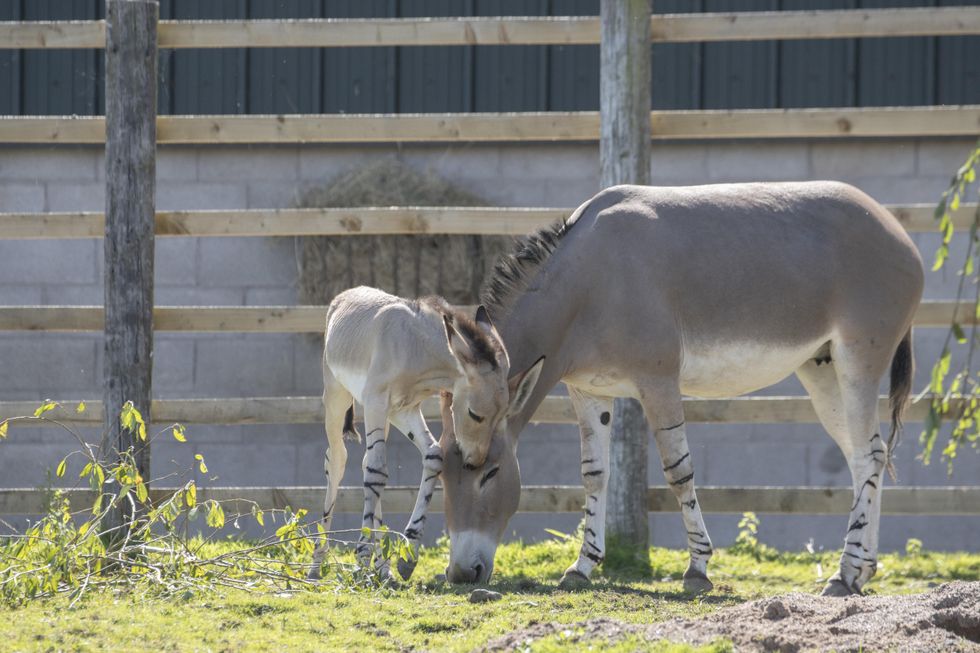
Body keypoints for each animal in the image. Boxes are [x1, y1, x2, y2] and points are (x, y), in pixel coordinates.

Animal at [310, 286, 544, 580]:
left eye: (503, 416)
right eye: (475, 414)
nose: (475, 462)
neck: (414, 347)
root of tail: (346, 294)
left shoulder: (404, 408)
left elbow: (431, 456)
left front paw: (406, 555)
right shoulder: (376, 402)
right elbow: (376, 473)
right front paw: (362, 557)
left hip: (388, 416)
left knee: (369, 463)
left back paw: (383, 570)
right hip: (337, 397)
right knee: (338, 460)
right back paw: (317, 564)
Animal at [438, 181, 923, 596]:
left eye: (490, 473)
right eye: (441, 472)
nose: (462, 574)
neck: (591, 282)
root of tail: (892, 225)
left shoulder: (659, 381)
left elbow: (678, 471)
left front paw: (697, 569)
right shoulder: (589, 390)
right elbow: (594, 473)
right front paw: (582, 566)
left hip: (858, 359)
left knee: (870, 453)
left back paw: (844, 575)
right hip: (821, 368)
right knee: (863, 455)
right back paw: (862, 569)